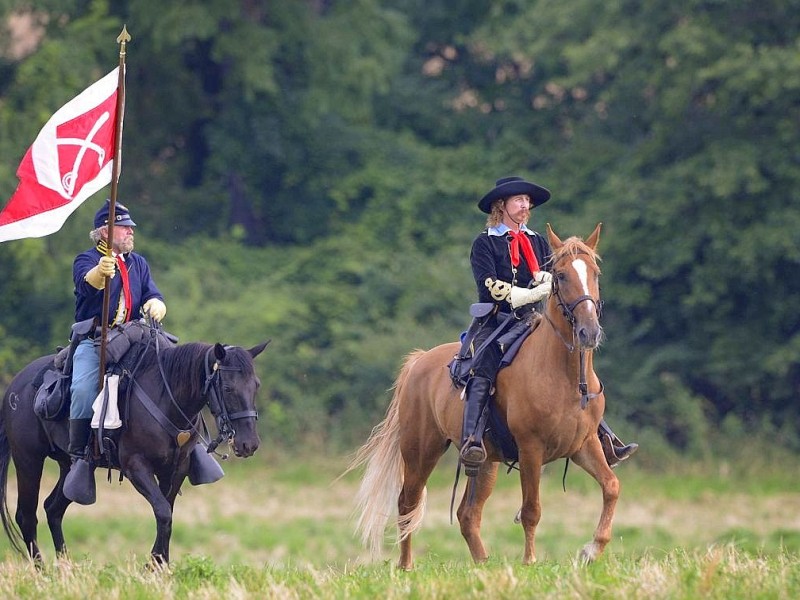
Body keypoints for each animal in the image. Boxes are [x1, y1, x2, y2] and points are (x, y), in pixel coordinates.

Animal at [0, 322, 268, 564]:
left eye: (256, 385)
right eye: (228, 387)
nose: (249, 444)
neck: (165, 397)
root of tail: (16, 384)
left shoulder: (176, 469)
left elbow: (167, 513)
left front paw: (161, 565)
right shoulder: (136, 467)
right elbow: (163, 512)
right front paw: (154, 566)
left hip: (69, 467)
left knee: (53, 509)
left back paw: (67, 569)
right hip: (28, 460)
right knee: (27, 516)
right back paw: (42, 571)